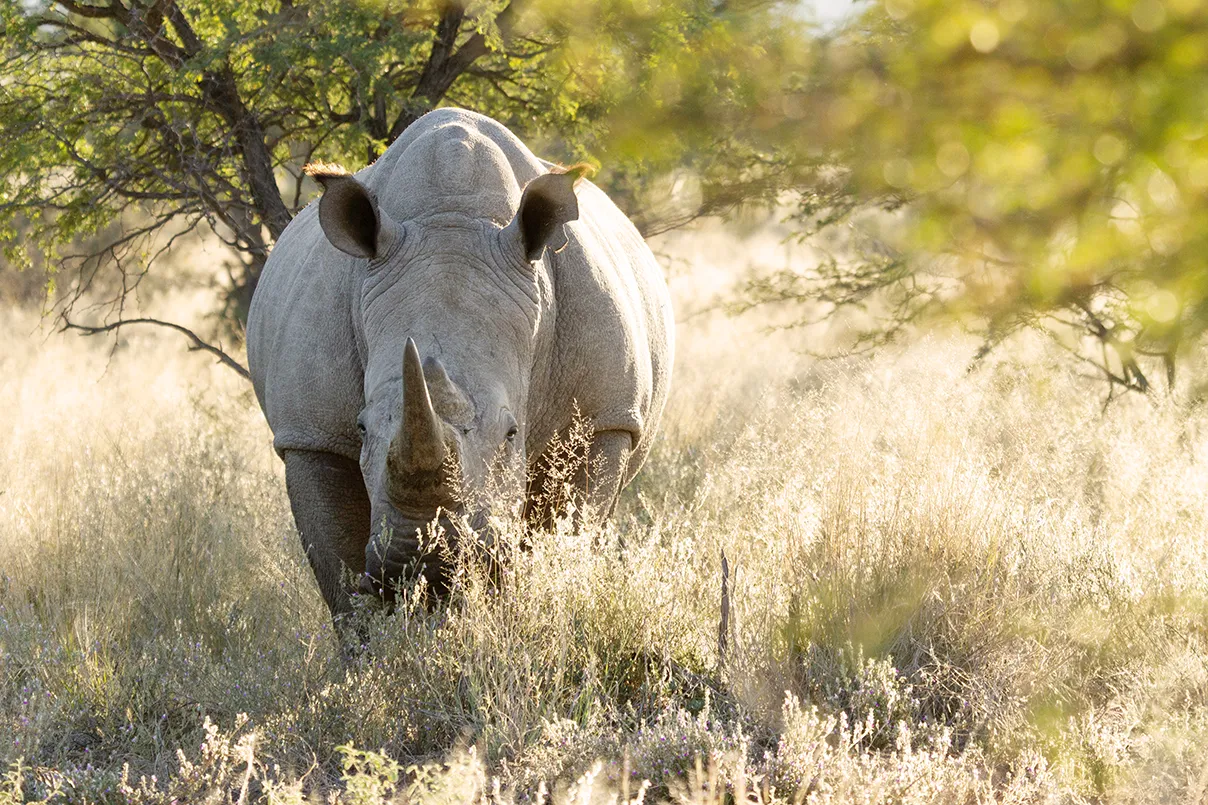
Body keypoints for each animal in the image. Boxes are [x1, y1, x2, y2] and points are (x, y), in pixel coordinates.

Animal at [247, 108, 674, 617]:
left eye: (512, 434)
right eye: (362, 428)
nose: (426, 563)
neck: (450, 221)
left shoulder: (603, 418)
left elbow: (564, 538)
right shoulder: (310, 434)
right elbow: (340, 578)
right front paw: (373, 635)